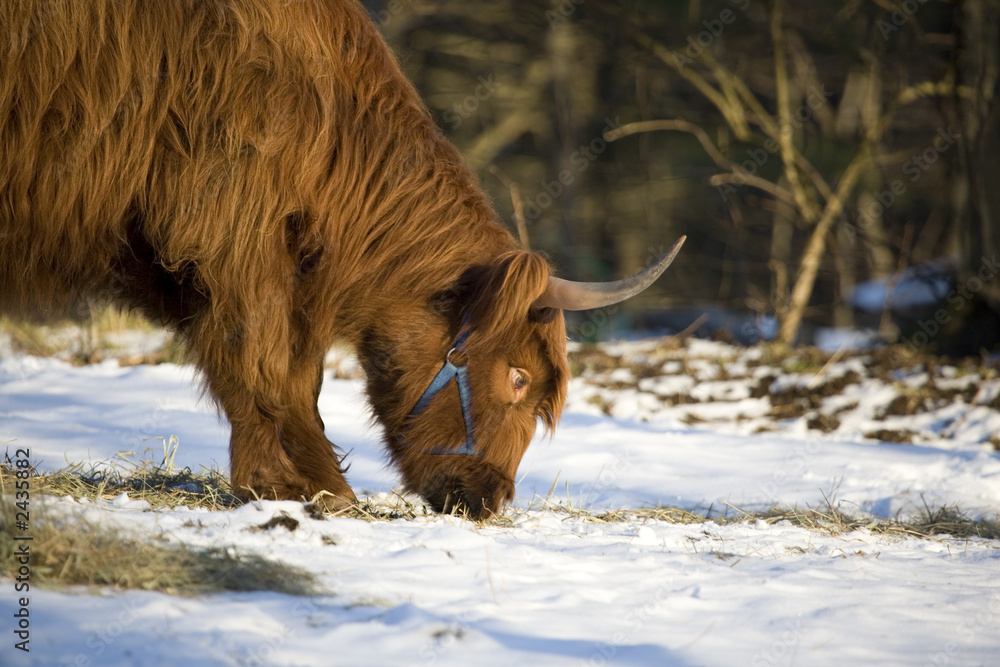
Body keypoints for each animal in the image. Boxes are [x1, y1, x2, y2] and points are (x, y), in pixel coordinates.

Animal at [0, 0, 684, 520]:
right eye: (517, 378)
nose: (489, 500)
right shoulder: (231, 235)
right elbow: (260, 359)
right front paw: (291, 485)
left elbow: (297, 375)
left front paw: (311, 482)